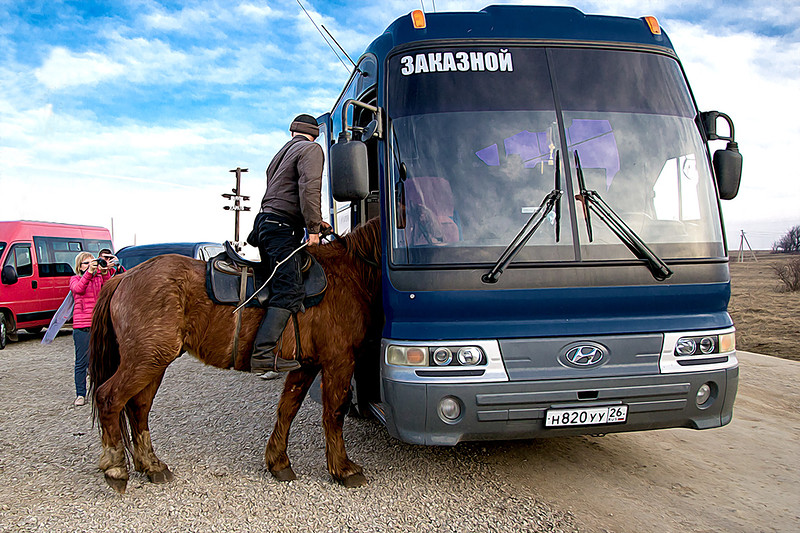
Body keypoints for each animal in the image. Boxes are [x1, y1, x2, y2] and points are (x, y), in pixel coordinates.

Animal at [89, 218, 382, 492]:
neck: (346, 273)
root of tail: (123, 277)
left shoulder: (305, 365)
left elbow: (287, 409)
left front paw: (278, 462)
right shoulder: (338, 361)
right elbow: (334, 413)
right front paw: (343, 468)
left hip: (154, 362)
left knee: (139, 408)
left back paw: (151, 465)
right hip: (146, 360)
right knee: (109, 398)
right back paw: (116, 468)